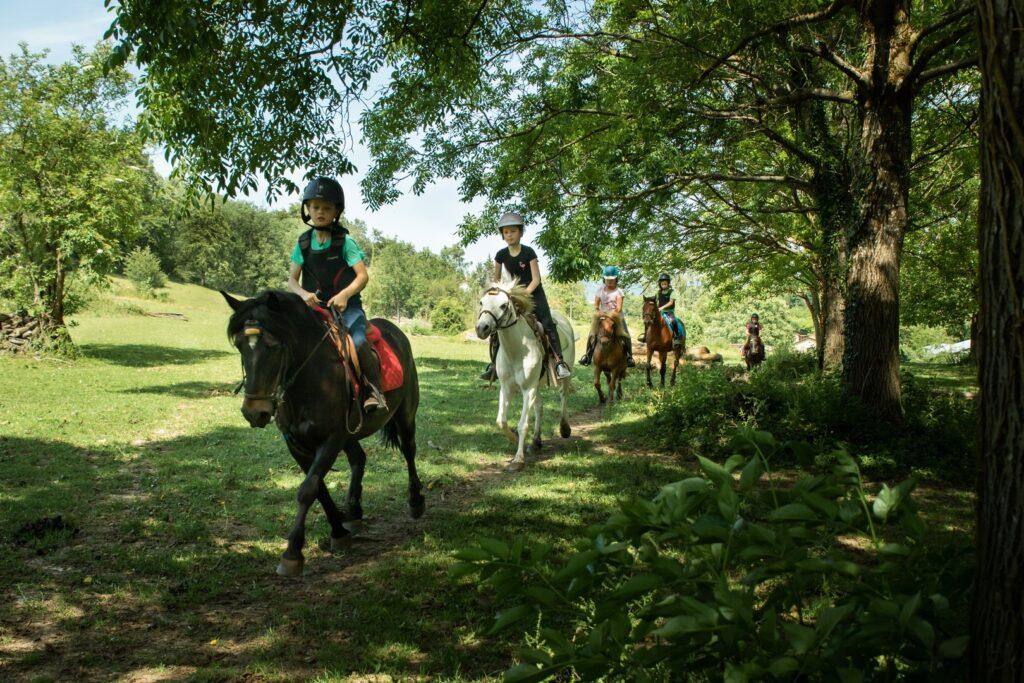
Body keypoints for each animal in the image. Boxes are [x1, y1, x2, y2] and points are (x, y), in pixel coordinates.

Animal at [222, 288, 421, 577]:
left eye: (273, 345)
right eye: (239, 345)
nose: (254, 412)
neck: (310, 379)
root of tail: (397, 332)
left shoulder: (331, 440)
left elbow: (307, 490)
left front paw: (292, 553)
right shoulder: (297, 445)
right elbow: (318, 489)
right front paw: (338, 531)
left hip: (405, 415)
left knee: (408, 452)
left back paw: (416, 501)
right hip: (351, 435)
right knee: (359, 459)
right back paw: (353, 511)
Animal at [473, 274, 573, 473]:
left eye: (504, 305)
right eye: (482, 302)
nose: (482, 328)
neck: (516, 349)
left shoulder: (527, 389)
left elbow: (523, 424)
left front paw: (518, 459)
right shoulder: (506, 388)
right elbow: (501, 421)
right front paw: (513, 438)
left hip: (560, 376)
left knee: (563, 396)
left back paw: (564, 428)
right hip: (537, 385)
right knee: (539, 407)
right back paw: (536, 441)